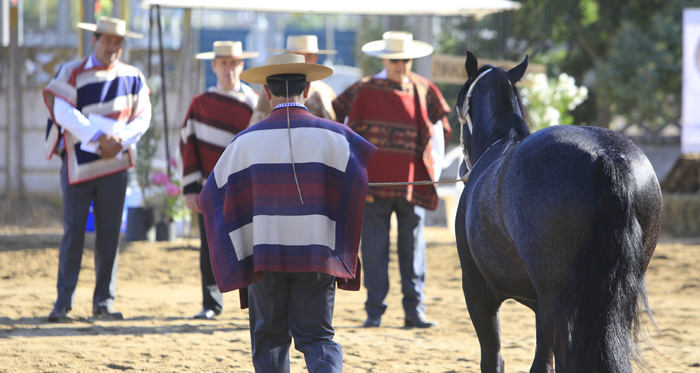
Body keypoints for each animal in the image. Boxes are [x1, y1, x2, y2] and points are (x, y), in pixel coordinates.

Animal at [454, 50, 660, 370]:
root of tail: (605, 154)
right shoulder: (537, 305)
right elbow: (541, 362)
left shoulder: (478, 294)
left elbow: (494, 358)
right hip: (615, 298)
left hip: (559, 303)